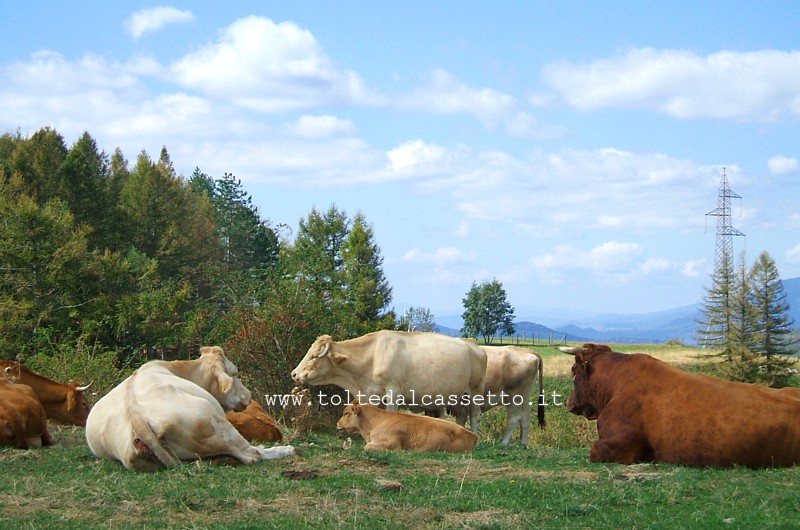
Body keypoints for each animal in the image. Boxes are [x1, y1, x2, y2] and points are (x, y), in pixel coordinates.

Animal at [85, 346, 296, 470]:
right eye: (235, 373)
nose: (249, 394)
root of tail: (136, 416)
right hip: (218, 425)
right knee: (252, 455)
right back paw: (285, 449)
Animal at [290, 330, 484, 434]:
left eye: (314, 356)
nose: (294, 374)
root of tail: (473, 344)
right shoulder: (374, 394)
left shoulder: (393, 391)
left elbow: (391, 414)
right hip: (459, 397)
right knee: (462, 416)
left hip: (475, 392)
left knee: (474, 416)